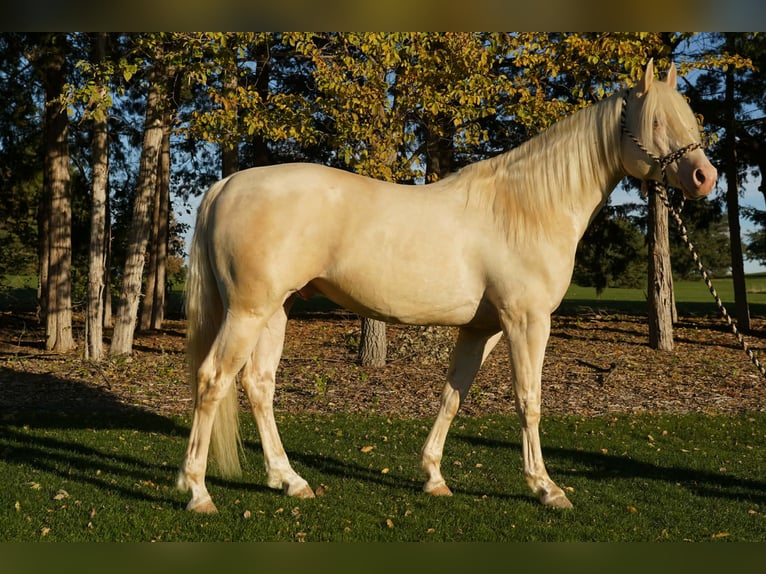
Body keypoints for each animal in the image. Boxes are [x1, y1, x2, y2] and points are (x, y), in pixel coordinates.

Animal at [177, 60, 717, 513]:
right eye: (655, 122)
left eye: (688, 118)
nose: (704, 177)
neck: (525, 208)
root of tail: (226, 185)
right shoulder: (527, 322)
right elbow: (529, 400)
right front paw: (546, 487)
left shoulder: (482, 330)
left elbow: (452, 395)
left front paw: (434, 477)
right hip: (248, 311)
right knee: (213, 380)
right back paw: (198, 492)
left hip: (275, 311)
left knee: (258, 385)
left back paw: (289, 480)